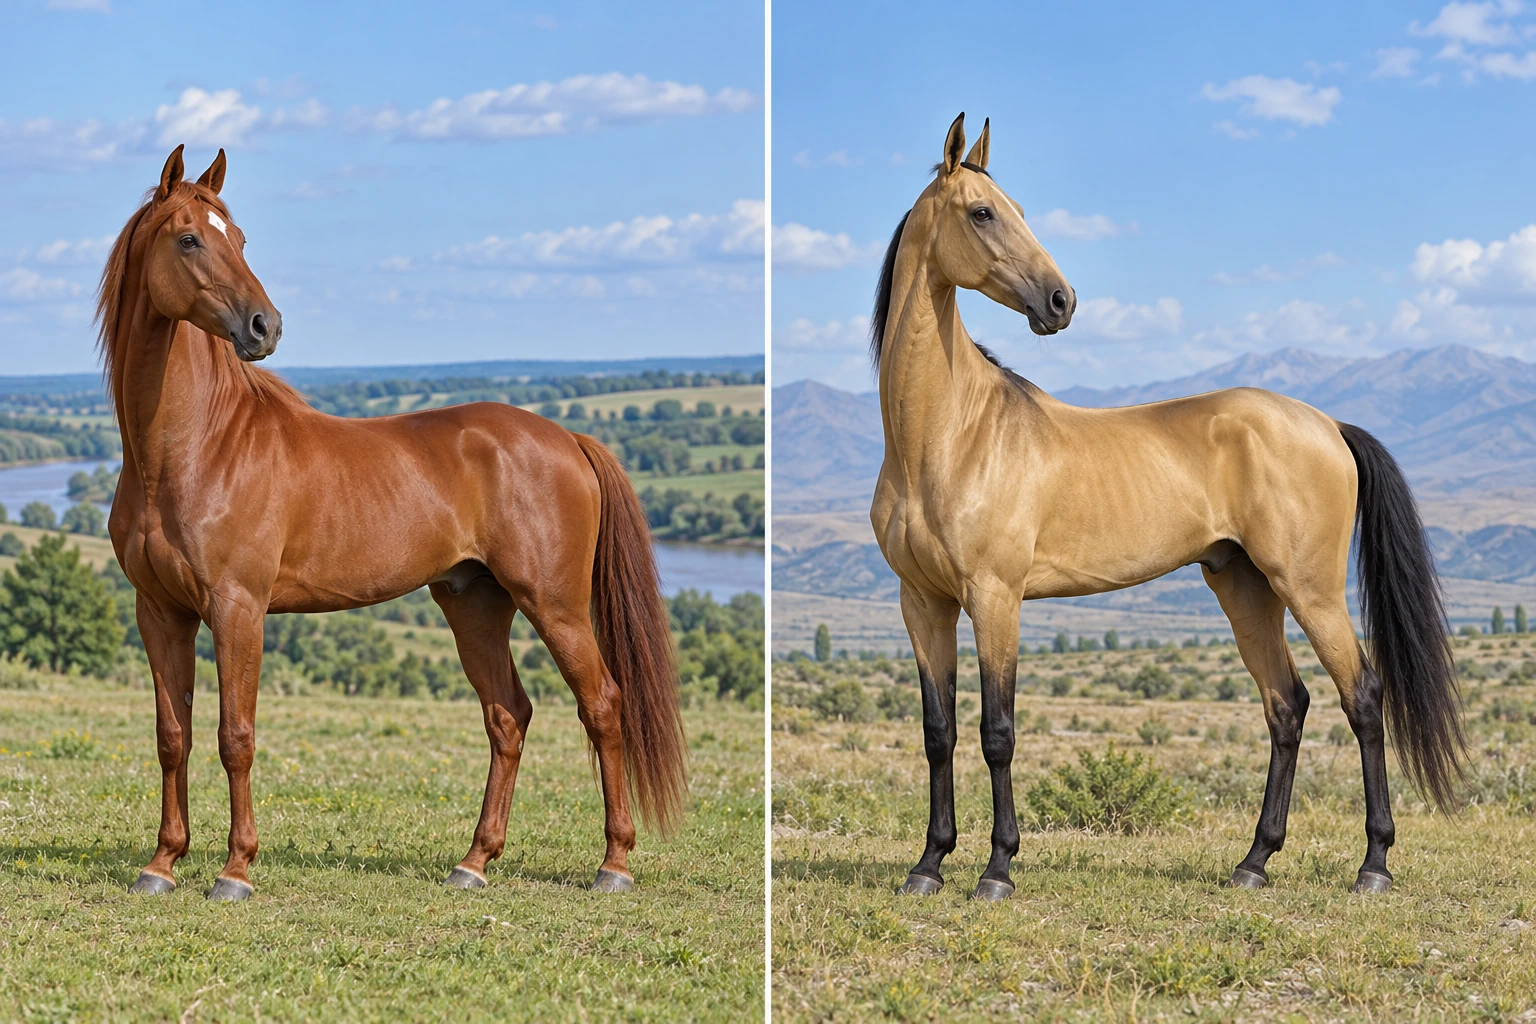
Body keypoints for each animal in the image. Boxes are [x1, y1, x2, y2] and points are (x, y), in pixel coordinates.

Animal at [98, 145, 686, 901]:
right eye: (190, 238)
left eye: (241, 238)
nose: (265, 326)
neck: (195, 447)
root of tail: (566, 438)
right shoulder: (160, 612)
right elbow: (174, 737)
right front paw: (162, 863)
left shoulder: (237, 609)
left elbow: (237, 737)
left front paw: (236, 870)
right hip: (474, 604)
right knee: (508, 717)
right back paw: (474, 861)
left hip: (555, 606)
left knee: (603, 706)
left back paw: (613, 863)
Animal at [868, 114, 1465, 901]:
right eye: (983, 212)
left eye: (1016, 209)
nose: (1060, 301)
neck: (949, 435)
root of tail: (1328, 424)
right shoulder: (923, 602)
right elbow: (940, 733)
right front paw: (929, 864)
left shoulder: (996, 598)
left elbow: (999, 733)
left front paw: (997, 869)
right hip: (1244, 587)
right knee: (1287, 706)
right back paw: (1254, 862)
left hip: (1309, 589)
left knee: (1362, 698)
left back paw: (1373, 865)